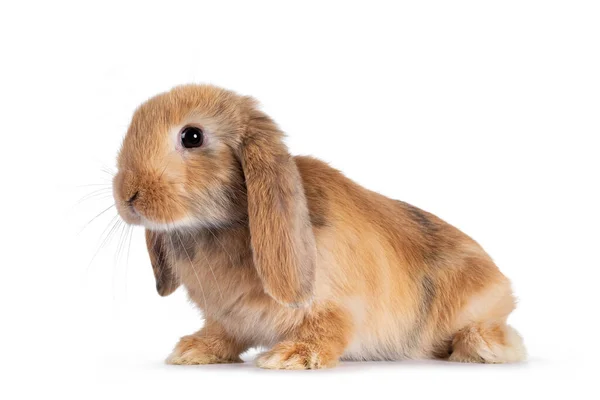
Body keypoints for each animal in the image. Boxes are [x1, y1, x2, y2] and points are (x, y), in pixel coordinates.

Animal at [111, 83, 524, 368]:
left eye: (192, 136)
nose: (128, 195)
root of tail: (502, 283)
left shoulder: (338, 305)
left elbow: (328, 330)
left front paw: (291, 356)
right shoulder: (227, 318)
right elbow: (223, 334)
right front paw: (192, 350)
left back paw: (481, 346)